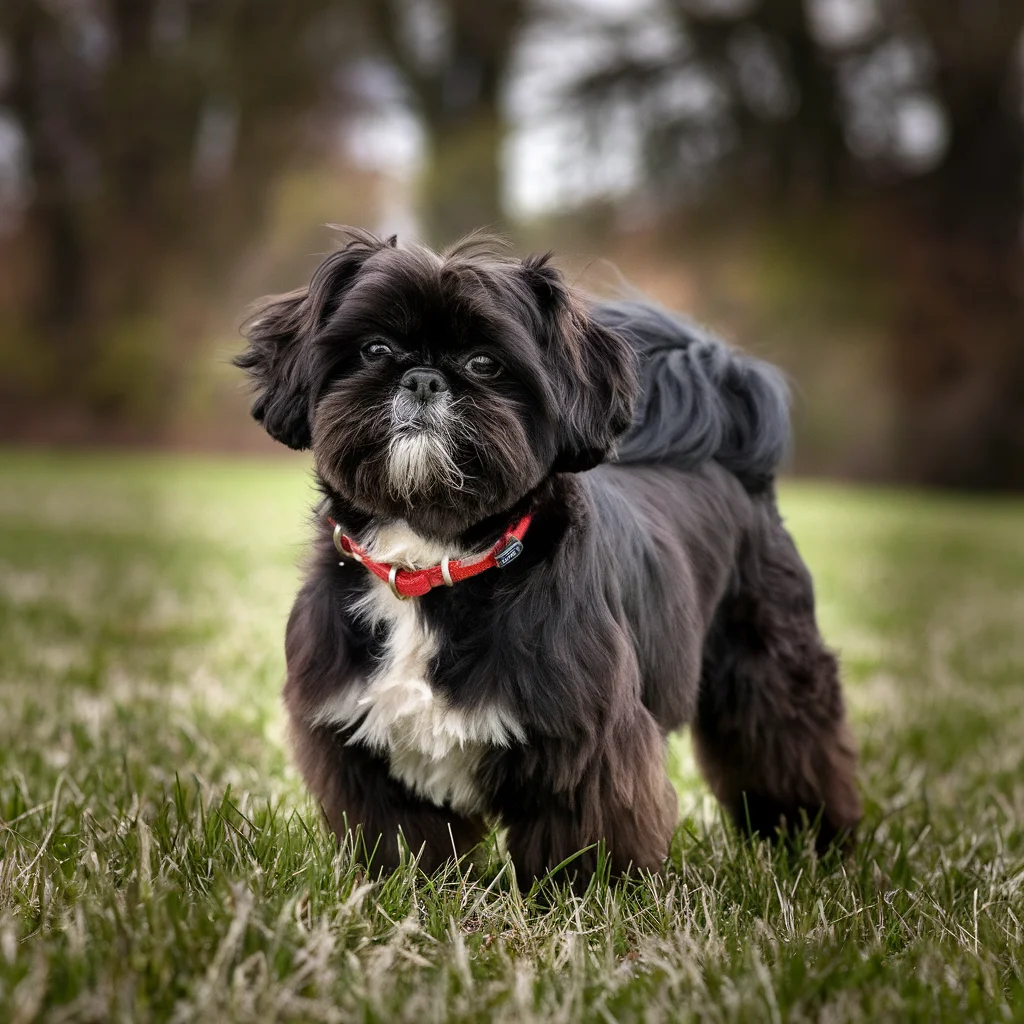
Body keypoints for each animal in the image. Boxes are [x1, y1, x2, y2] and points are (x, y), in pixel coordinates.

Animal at [237, 228, 864, 884]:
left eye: (484, 363)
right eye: (374, 348)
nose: (423, 378)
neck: (433, 559)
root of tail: (733, 455)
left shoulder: (587, 742)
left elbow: (580, 839)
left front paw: (580, 896)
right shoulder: (359, 743)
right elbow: (404, 839)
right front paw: (404, 887)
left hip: (769, 668)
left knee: (791, 745)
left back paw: (815, 844)